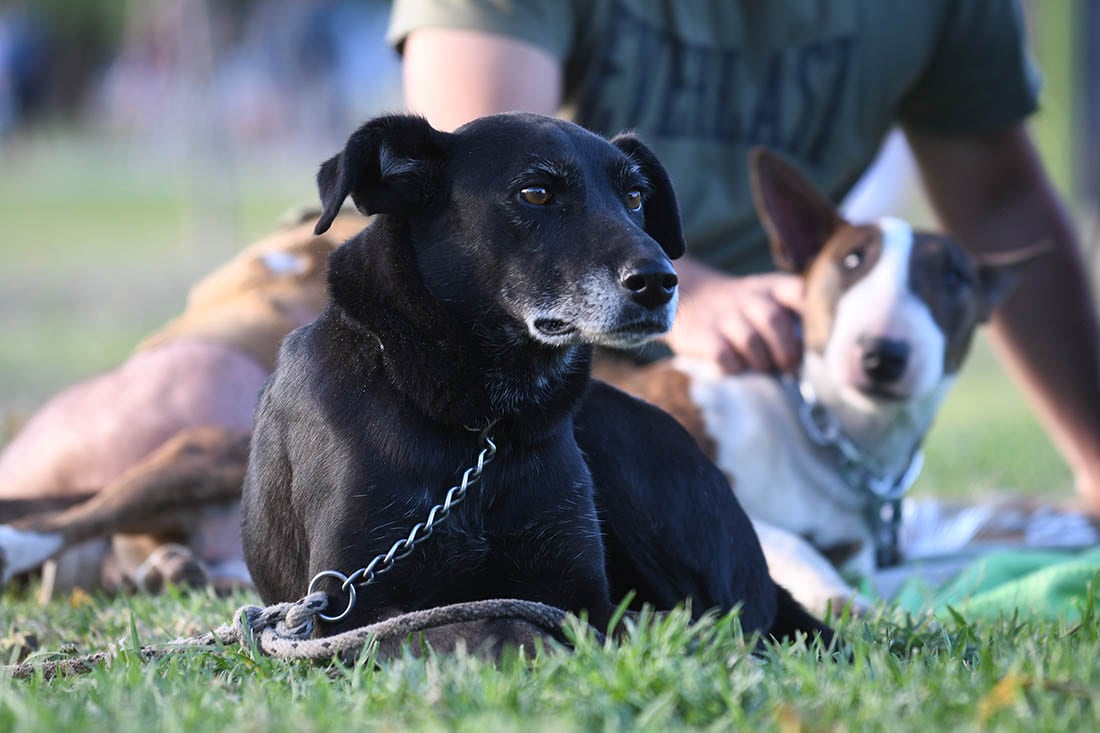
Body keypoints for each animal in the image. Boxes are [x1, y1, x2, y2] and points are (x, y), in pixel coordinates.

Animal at [238, 111, 827, 642]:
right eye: (537, 193)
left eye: (636, 197)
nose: (660, 282)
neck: (483, 429)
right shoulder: (348, 607)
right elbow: (474, 622)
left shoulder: (578, 589)